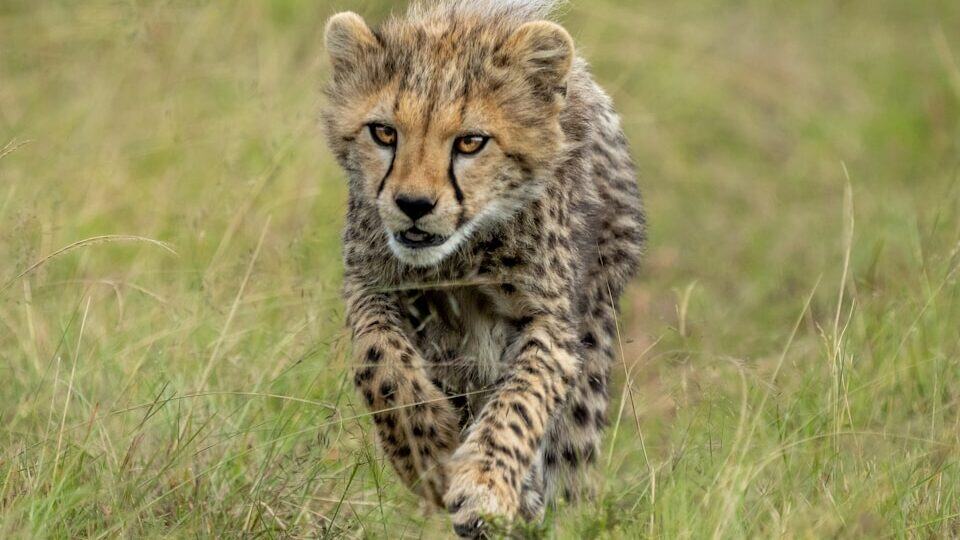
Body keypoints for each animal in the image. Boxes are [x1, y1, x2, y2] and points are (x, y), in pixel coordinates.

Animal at [321, 0, 645, 536]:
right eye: (384, 132)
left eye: (471, 142)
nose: (413, 205)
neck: (462, 256)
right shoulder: (370, 284)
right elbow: (380, 362)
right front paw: (428, 454)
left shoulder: (552, 321)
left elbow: (522, 399)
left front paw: (485, 486)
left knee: (568, 459)